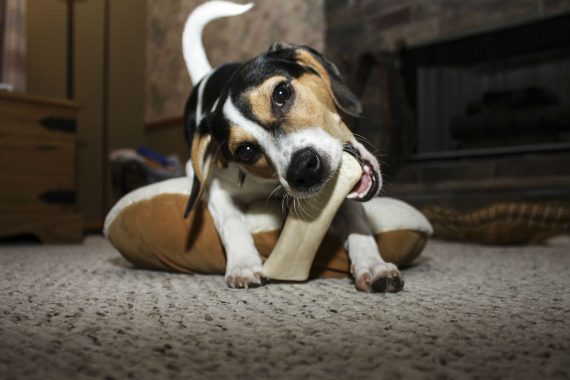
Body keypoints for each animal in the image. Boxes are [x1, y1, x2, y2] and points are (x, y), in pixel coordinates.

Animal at [181, 0, 400, 294]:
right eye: (246, 151)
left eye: (281, 93)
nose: (303, 170)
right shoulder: (218, 190)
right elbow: (232, 223)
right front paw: (243, 265)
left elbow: (357, 223)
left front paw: (373, 265)